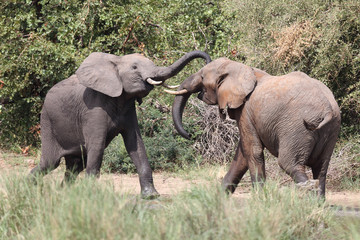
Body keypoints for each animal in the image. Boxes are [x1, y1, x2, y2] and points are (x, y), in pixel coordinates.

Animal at [29, 49, 212, 198]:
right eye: (134, 68)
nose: (190, 134)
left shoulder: (128, 108)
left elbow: (135, 144)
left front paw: (151, 196)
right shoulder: (93, 108)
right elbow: (97, 147)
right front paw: (91, 196)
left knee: (75, 166)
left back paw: (63, 194)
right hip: (47, 122)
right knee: (50, 163)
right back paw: (28, 188)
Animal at [169, 57, 340, 197]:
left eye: (203, 77)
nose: (190, 135)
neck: (239, 68)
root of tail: (327, 109)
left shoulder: (245, 111)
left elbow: (252, 150)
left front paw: (259, 200)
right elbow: (242, 154)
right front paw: (219, 198)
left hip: (297, 129)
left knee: (290, 164)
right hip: (331, 130)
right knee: (321, 169)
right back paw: (319, 204)